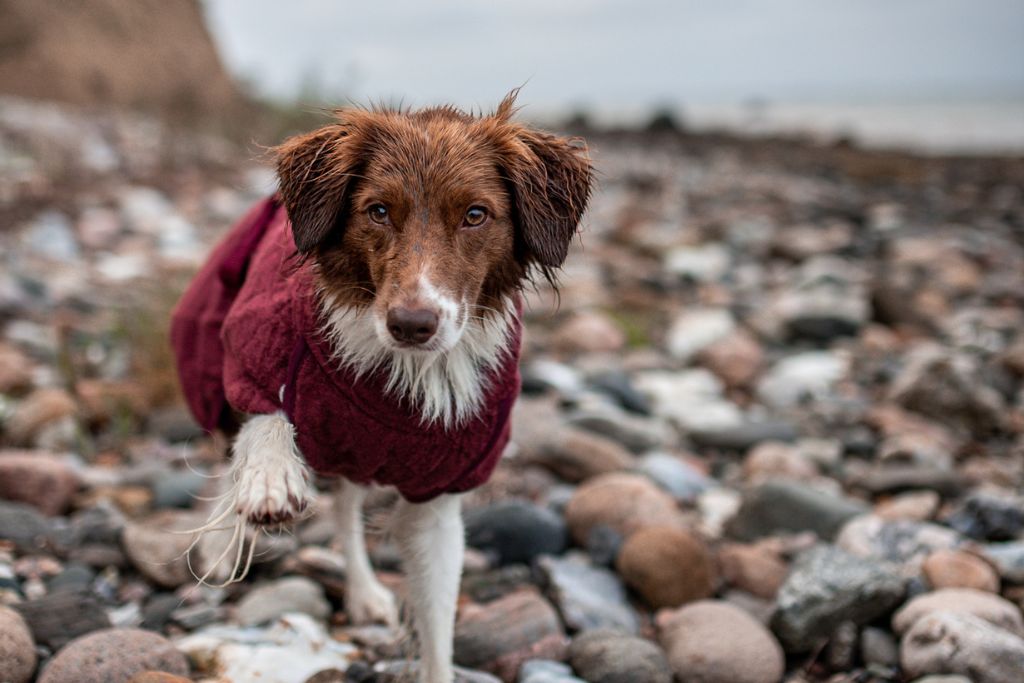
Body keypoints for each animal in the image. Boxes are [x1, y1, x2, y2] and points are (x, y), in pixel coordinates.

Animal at [169, 92, 593, 683]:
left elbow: (437, 626)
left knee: (346, 509)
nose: (412, 324)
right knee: (226, 454)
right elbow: (267, 416)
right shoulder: (251, 349)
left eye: (475, 215)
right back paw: (218, 544)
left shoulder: (440, 494)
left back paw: (364, 591)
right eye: (378, 211)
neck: (403, 370)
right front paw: (270, 480)